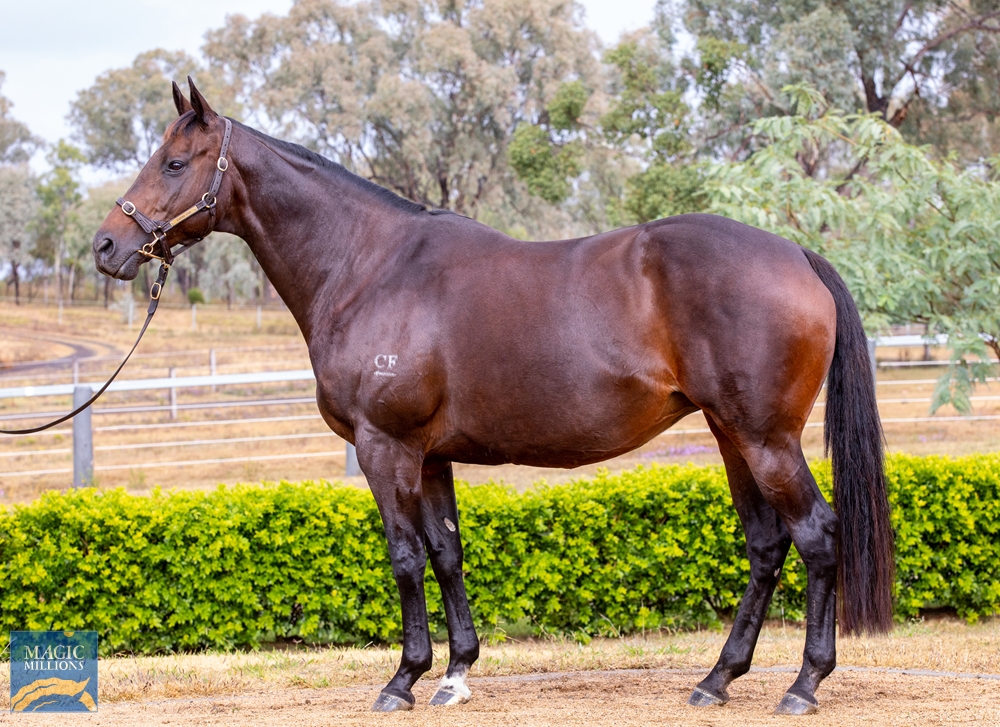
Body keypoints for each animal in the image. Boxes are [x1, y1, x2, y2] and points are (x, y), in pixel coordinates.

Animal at [92, 79, 892, 716]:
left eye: (174, 162)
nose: (106, 247)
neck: (368, 267)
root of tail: (796, 254)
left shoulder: (386, 447)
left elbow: (405, 556)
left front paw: (402, 680)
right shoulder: (431, 454)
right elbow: (447, 551)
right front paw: (455, 674)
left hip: (766, 439)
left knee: (817, 534)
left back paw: (803, 685)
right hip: (732, 436)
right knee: (766, 544)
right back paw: (717, 678)